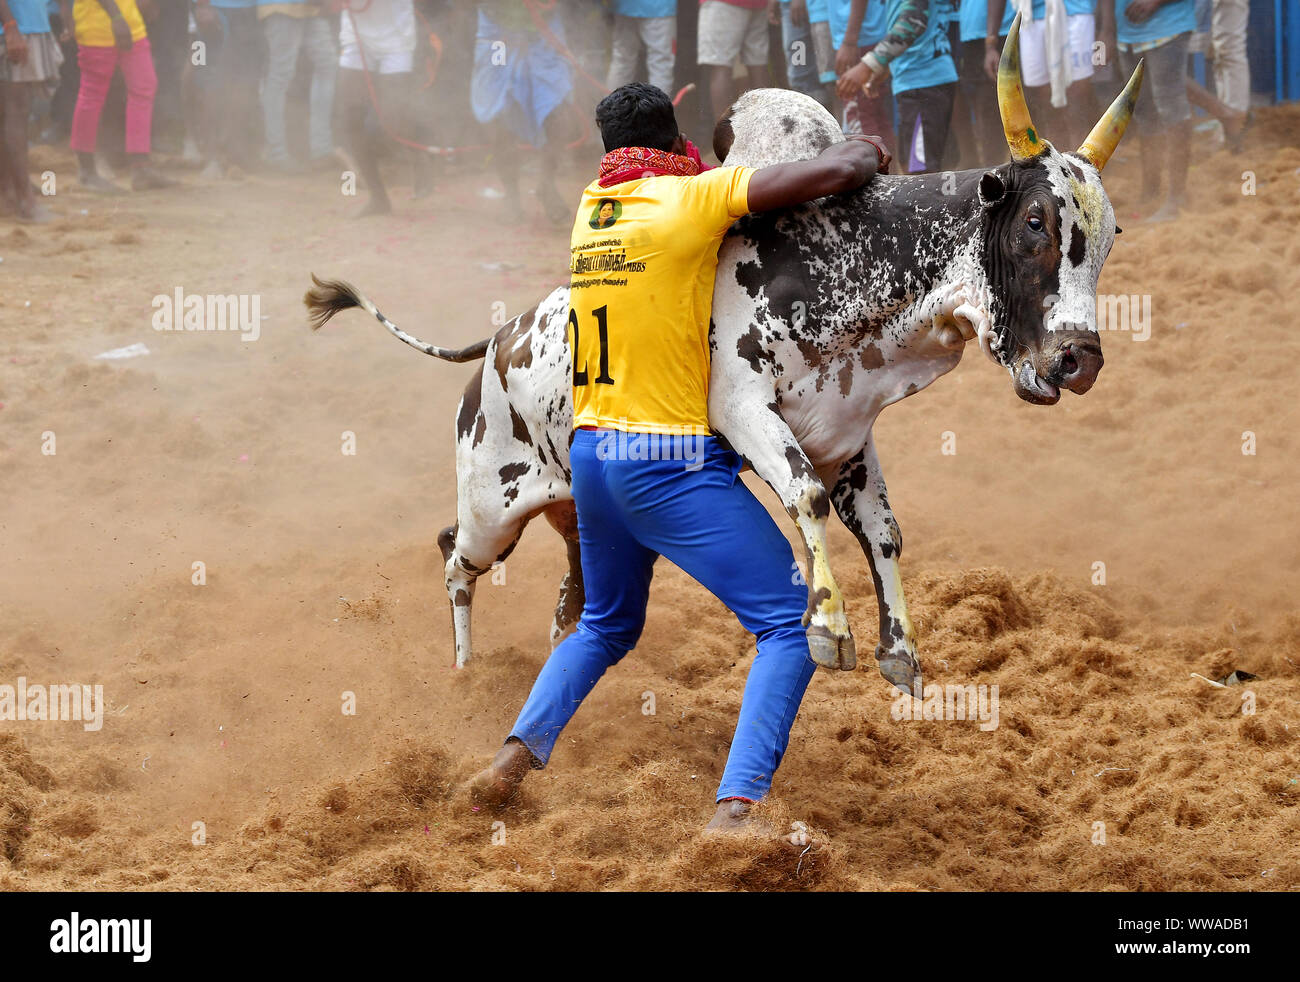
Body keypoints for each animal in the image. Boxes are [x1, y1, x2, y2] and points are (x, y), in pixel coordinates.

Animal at [309, 23, 1144, 697]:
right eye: (1034, 221)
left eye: (1109, 239)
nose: (1080, 359)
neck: (844, 253)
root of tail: (493, 343)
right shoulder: (746, 410)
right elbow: (805, 498)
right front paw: (828, 631)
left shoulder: (848, 432)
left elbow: (883, 531)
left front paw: (900, 651)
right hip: (492, 505)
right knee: (455, 558)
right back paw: (462, 675)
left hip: (570, 509)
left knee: (569, 597)